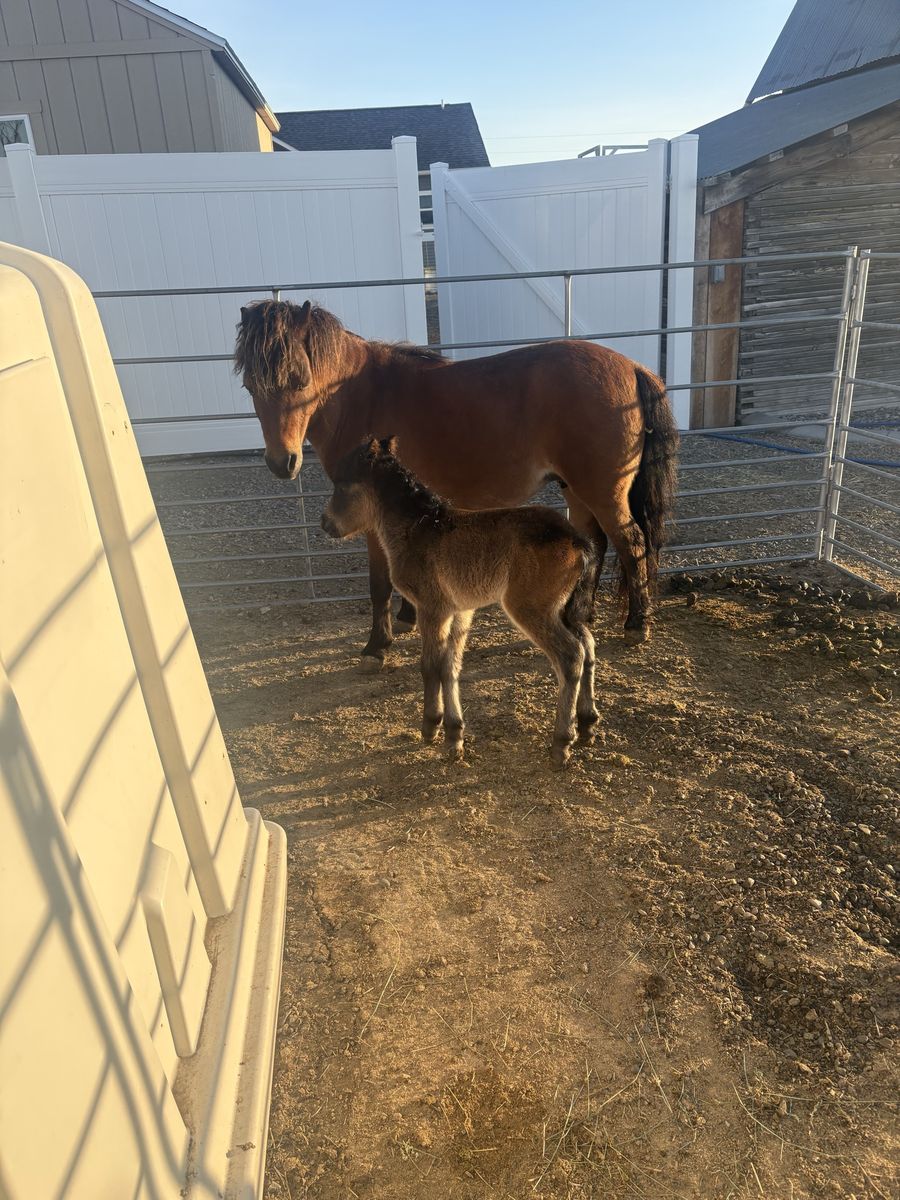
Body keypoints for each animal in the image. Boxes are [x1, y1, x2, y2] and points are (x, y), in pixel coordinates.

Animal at [234, 300, 678, 664]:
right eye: (250, 386)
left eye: (298, 379)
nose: (282, 462)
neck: (362, 394)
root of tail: (632, 367)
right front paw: (406, 618)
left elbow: (379, 582)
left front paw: (377, 646)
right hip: (577, 490)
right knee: (595, 542)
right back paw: (578, 612)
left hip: (603, 491)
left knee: (631, 542)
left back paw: (636, 625)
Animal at [321, 437, 599, 768]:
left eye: (341, 484)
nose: (325, 523)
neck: (419, 527)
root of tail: (577, 540)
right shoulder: (460, 611)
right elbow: (450, 665)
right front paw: (455, 736)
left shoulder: (431, 607)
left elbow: (430, 666)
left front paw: (430, 727)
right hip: (566, 609)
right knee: (588, 644)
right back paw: (587, 725)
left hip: (531, 608)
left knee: (571, 655)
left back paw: (561, 742)